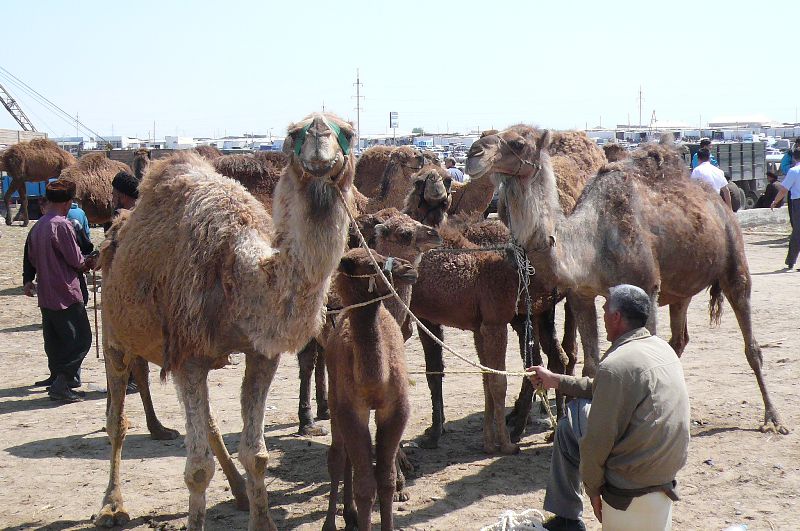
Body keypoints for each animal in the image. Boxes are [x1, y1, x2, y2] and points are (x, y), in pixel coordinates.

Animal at [95, 111, 354, 528]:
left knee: (211, 423)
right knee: (116, 420)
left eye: (348, 132)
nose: (318, 134)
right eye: (293, 134)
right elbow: (197, 469)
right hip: (115, 334)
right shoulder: (187, 356)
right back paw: (112, 506)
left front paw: (263, 519)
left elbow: (257, 454)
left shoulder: (262, 354)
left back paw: (239, 493)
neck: (239, 269)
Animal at [322, 249, 416, 531]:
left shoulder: (396, 410)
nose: (408, 268)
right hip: (334, 397)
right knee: (337, 455)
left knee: (347, 458)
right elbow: (365, 487)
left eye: (381, 254)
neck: (375, 379)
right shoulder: (351, 411)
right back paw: (332, 522)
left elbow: (385, 480)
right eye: (370, 264)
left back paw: (350, 514)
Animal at [468, 127, 788, 434]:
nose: (473, 152)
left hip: (734, 256)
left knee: (750, 340)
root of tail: (718, 198)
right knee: (679, 338)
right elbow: (592, 365)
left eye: (518, 143)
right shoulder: (581, 295)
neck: (589, 244)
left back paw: (773, 419)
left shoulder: (647, 287)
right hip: (679, 287)